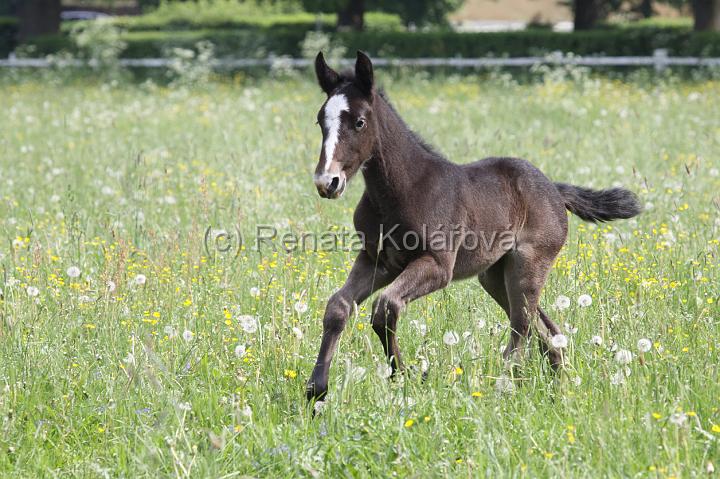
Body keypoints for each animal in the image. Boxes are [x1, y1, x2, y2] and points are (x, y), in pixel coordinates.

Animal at [306, 51, 640, 404]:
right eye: (320, 121)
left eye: (359, 122)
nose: (327, 181)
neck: (402, 190)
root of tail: (554, 189)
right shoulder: (376, 261)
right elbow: (338, 307)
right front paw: (317, 390)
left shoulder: (438, 266)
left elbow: (386, 307)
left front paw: (407, 375)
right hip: (495, 275)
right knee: (546, 330)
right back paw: (559, 390)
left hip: (528, 265)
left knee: (522, 327)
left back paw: (505, 387)